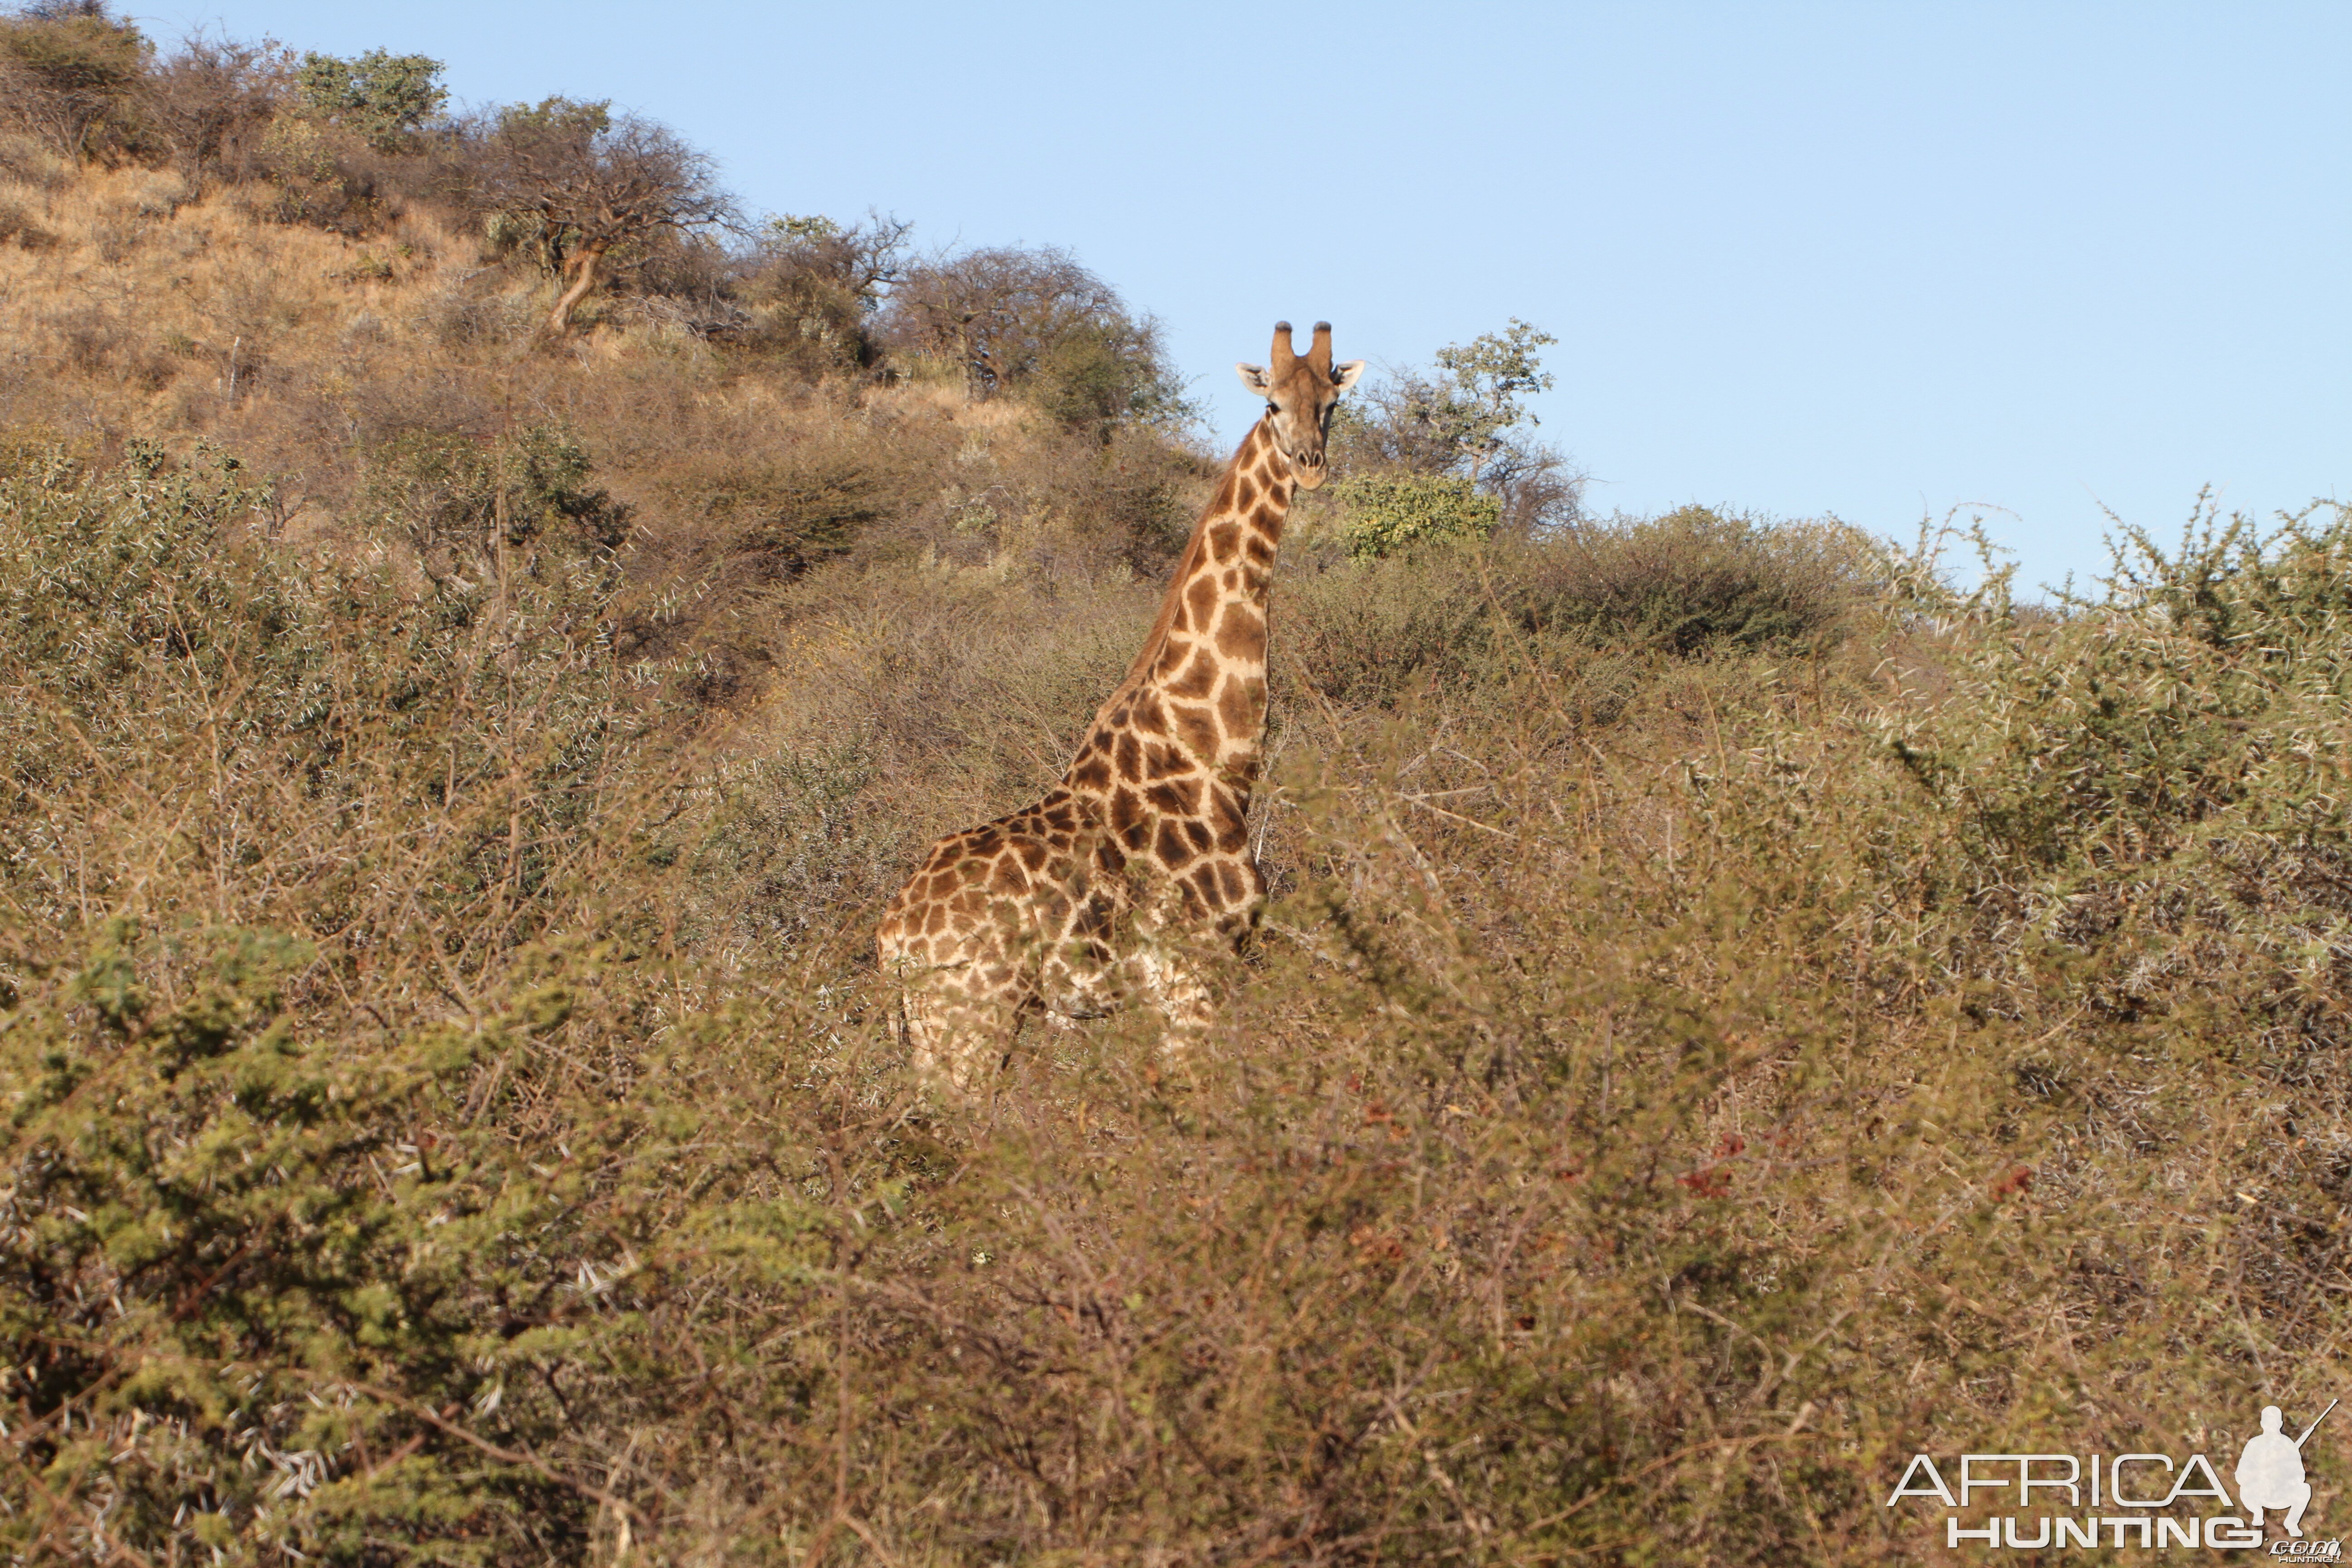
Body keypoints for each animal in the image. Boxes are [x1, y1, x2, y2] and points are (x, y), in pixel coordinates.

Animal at [879, 315, 1364, 1081]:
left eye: (1332, 404)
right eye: (1271, 405)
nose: (1309, 464)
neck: (1212, 752)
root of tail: (892, 933)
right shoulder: (1196, 974)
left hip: (937, 1031)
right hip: (969, 1024)